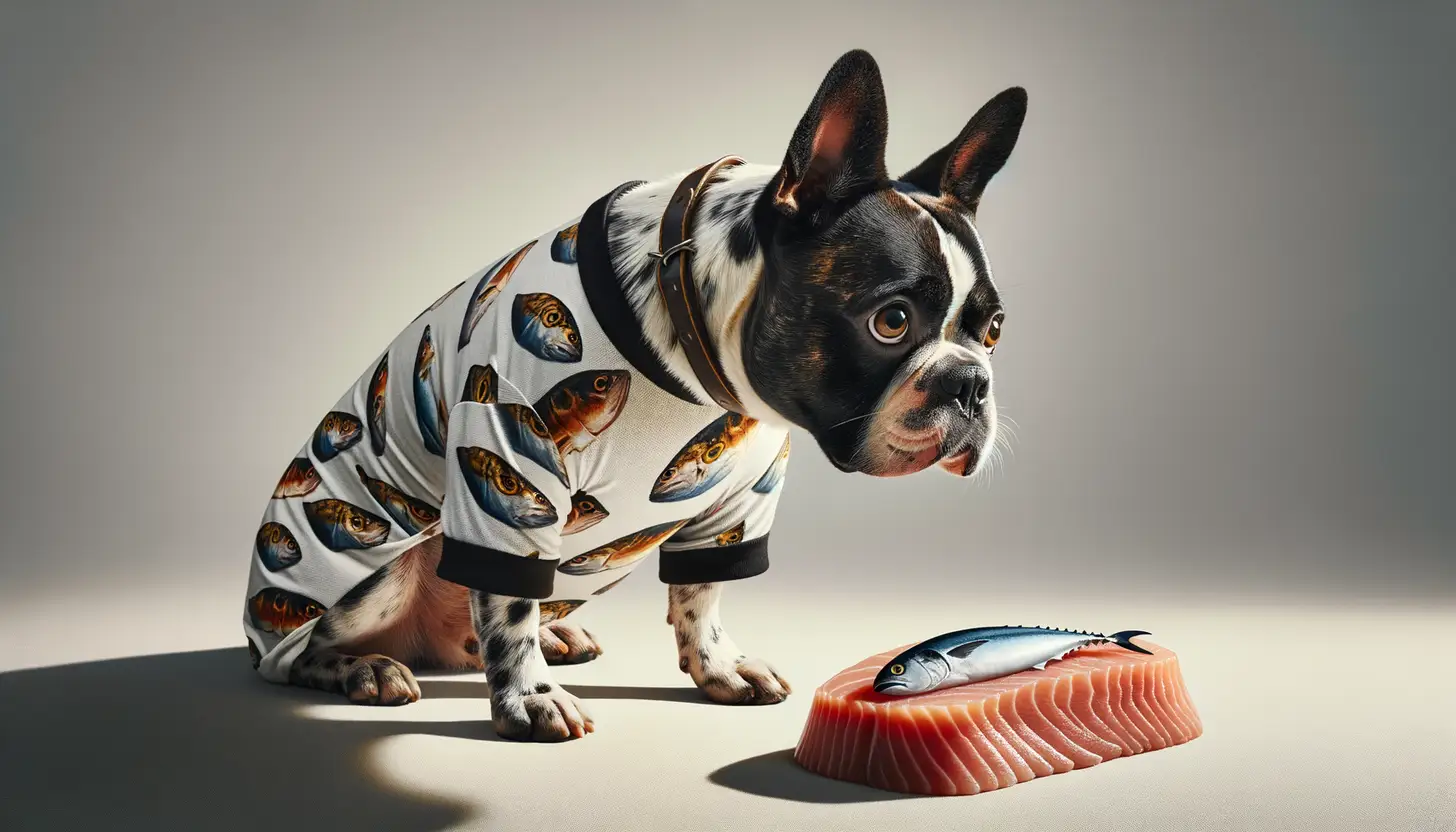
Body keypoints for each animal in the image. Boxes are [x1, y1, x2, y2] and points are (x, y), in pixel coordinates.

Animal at [241, 48, 1025, 746]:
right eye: (890, 321)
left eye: (993, 330)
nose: (969, 382)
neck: (693, 354)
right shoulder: (506, 455)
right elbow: (508, 599)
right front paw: (528, 699)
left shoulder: (739, 502)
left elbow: (702, 592)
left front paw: (718, 667)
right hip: (371, 571)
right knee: (294, 655)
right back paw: (363, 669)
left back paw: (552, 634)